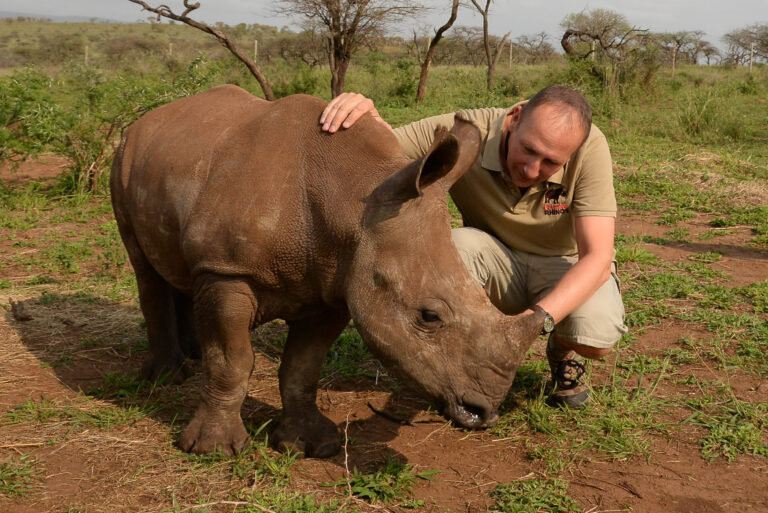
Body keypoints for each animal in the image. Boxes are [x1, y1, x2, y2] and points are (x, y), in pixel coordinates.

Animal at [110, 84, 545, 458]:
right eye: (428, 316)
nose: (483, 411)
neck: (352, 199)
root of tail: (147, 119)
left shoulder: (337, 282)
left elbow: (302, 367)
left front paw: (312, 445)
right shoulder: (227, 270)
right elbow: (230, 359)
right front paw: (212, 449)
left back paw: (192, 354)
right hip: (123, 159)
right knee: (144, 268)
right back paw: (166, 377)